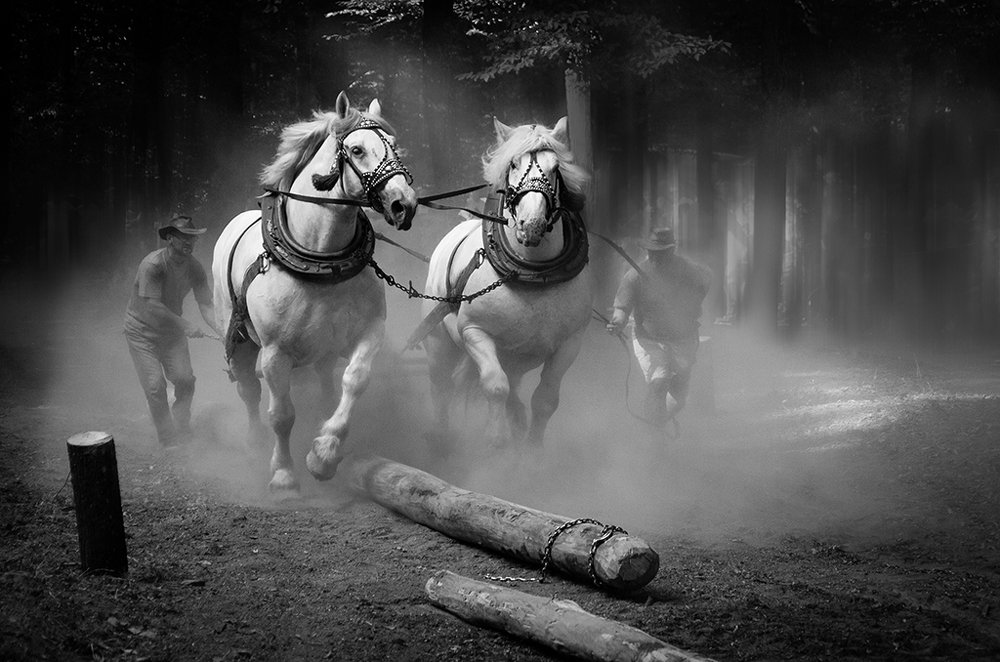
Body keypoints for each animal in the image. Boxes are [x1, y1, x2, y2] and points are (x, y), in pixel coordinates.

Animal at [211, 91, 417, 494]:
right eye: (356, 149)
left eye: (394, 145)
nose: (405, 204)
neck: (322, 263)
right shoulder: (275, 353)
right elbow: (281, 414)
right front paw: (283, 473)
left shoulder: (370, 331)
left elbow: (354, 381)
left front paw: (325, 451)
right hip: (239, 339)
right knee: (249, 391)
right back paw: (253, 444)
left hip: (322, 351)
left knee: (325, 385)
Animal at [420, 116, 592, 449]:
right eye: (513, 164)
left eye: (555, 168)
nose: (532, 224)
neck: (533, 274)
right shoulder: (475, 332)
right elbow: (494, 386)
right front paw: (496, 439)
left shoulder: (570, 343)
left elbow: (546, 399)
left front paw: (531, 449)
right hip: (438, 343)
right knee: (441, 385)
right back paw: (441, 437)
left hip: (515, 360)